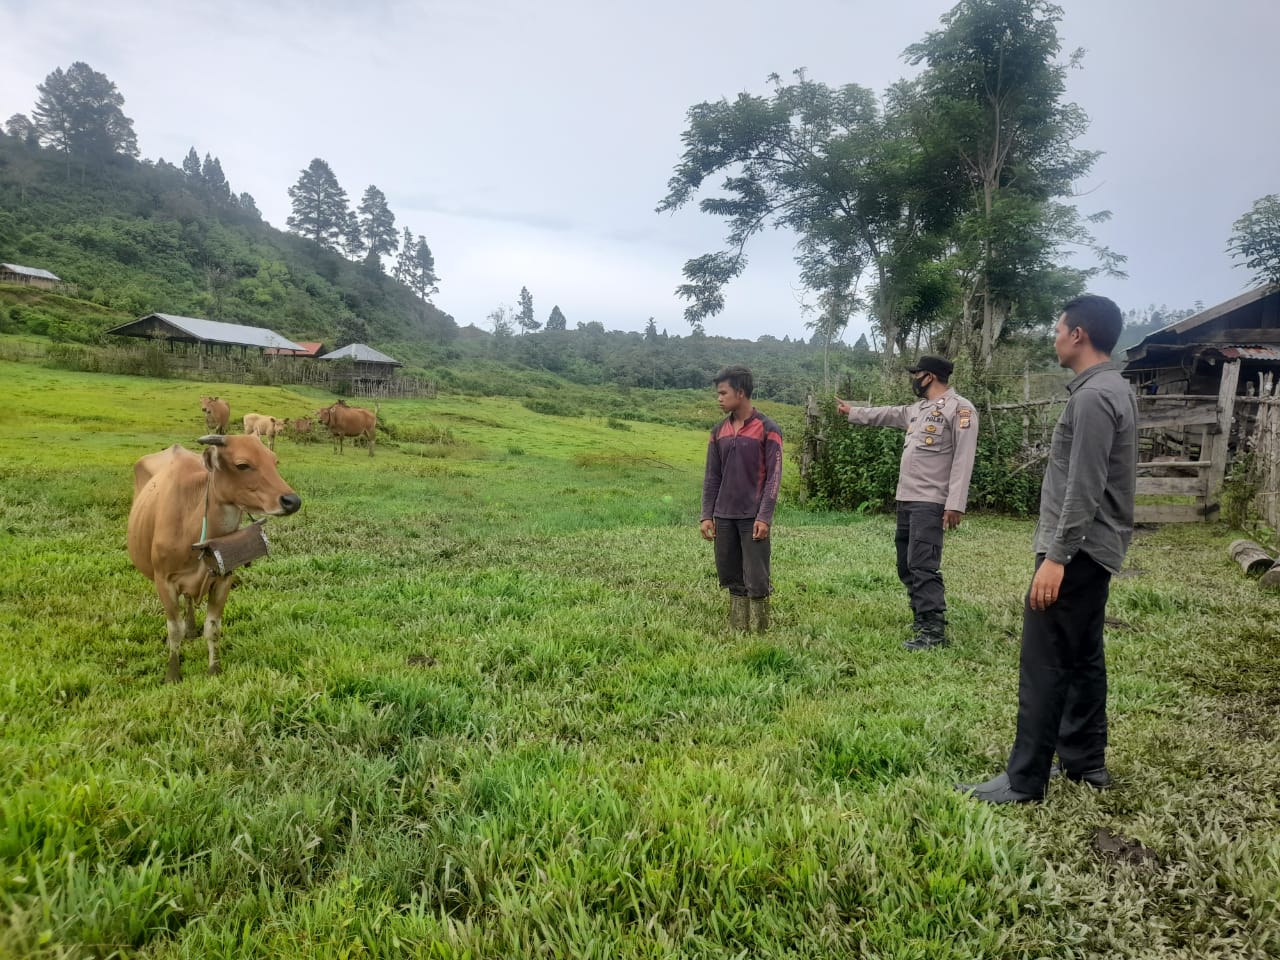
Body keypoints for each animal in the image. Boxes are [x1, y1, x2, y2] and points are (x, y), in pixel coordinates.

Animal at [128, 435, 302, 686]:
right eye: (242, 465)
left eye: (274, 461)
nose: (292, 501)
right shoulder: (164, 581)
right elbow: (174, 629)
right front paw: (173, 673)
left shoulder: (223, 578)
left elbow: (213, 628)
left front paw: (214, 668)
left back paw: (192, 629)